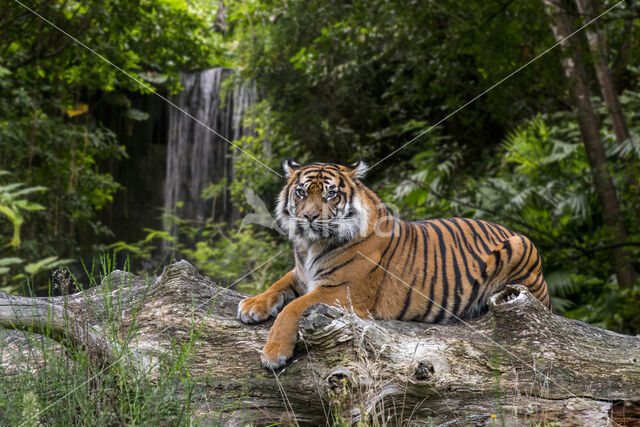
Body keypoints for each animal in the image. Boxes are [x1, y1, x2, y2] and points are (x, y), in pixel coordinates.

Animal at [236, 160, 552, 368]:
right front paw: (252, 305)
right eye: (301, 192)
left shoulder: (342, 289)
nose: (309, 217)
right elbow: (278, 284)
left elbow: (291, 309)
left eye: (331, 194)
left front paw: (273, 353)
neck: (311, 244)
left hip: (520, 246)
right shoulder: (302, 274)